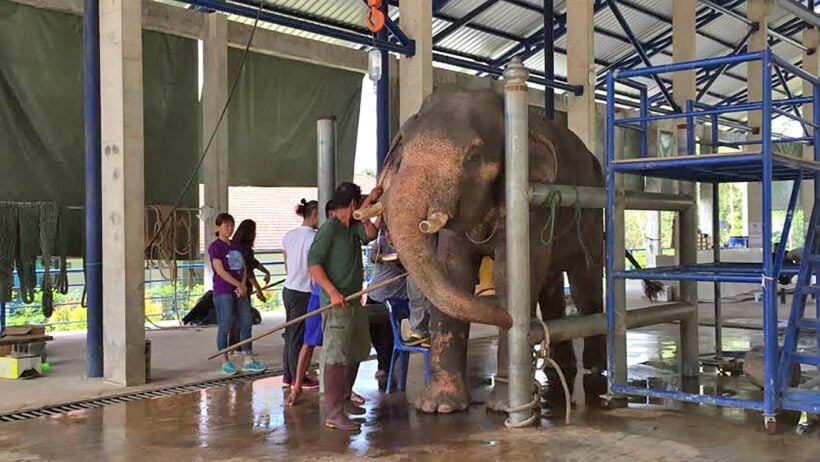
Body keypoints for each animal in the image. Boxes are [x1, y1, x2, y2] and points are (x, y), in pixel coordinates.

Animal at [382, 88, 604, 414]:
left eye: (472, 157)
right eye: (404, 152)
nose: (513, 322)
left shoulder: (532, 205)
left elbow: (510, 275)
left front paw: (505, 406)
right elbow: (454, 273)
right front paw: (439, 406)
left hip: (592, 217)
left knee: (585, 287)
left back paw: (595, 371)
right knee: (551, 290)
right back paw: (559, 367)